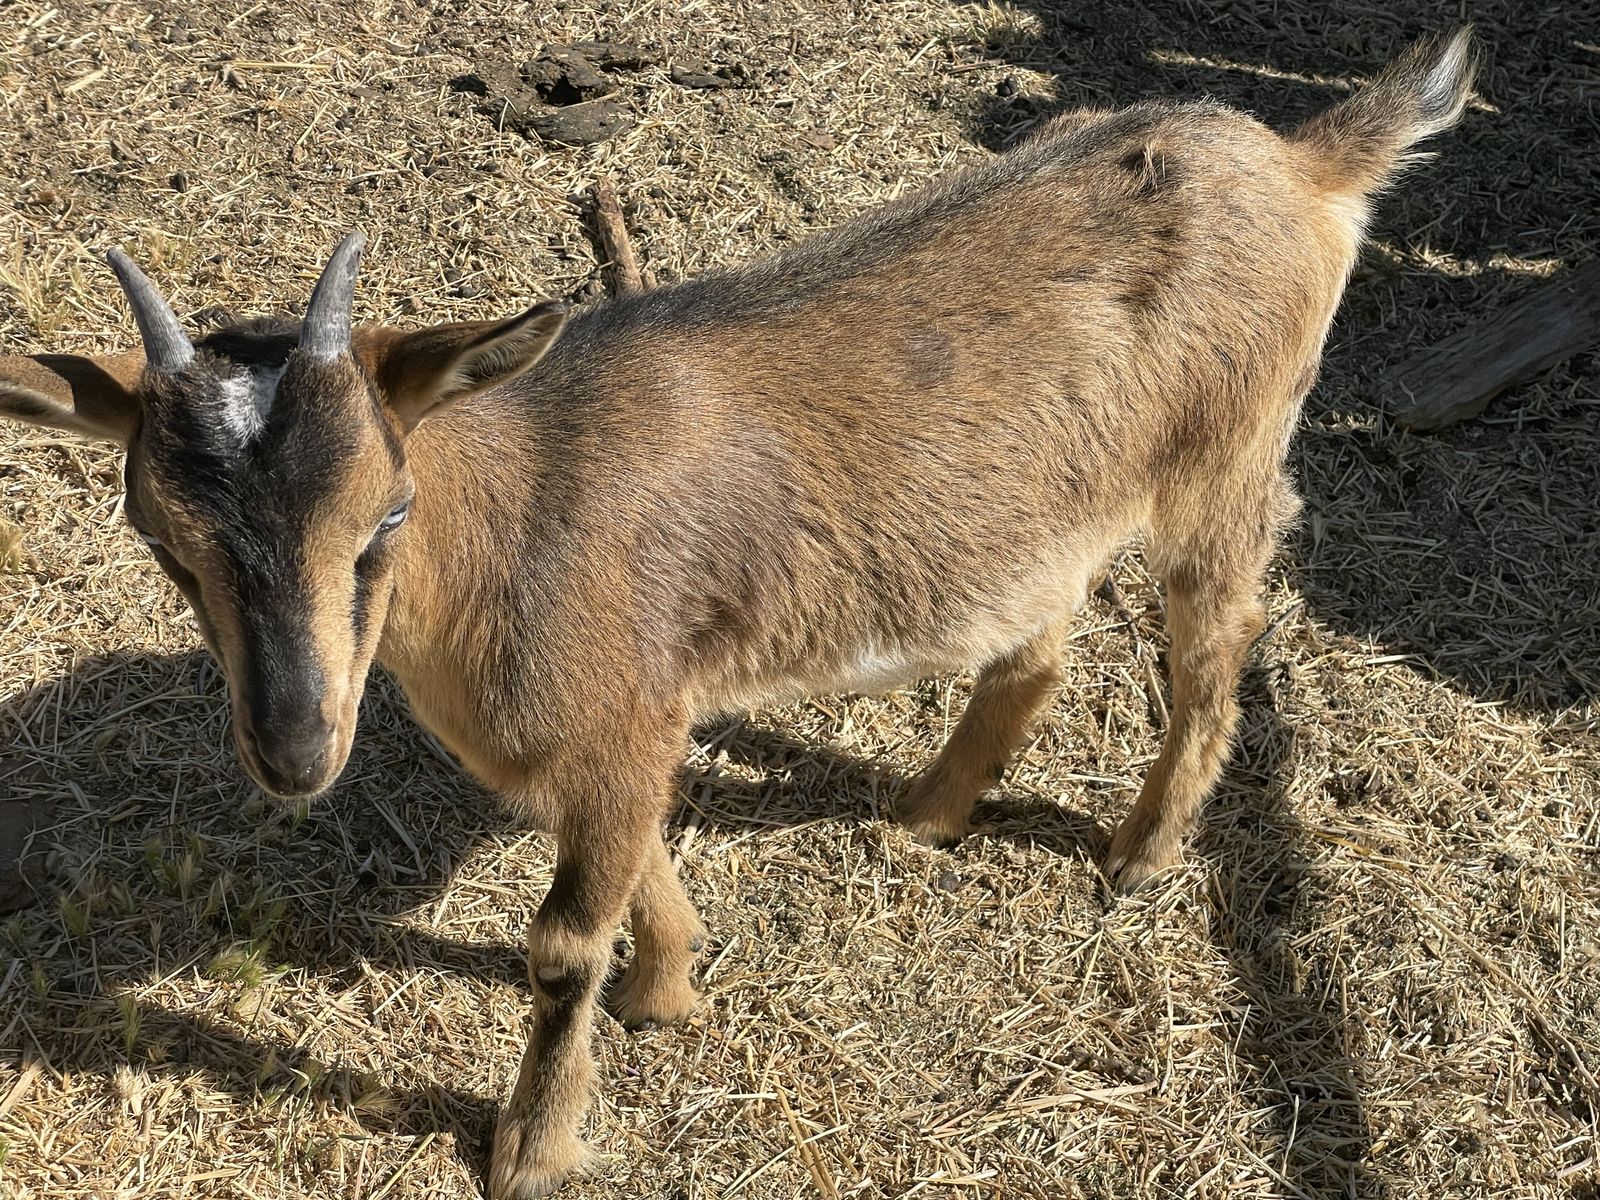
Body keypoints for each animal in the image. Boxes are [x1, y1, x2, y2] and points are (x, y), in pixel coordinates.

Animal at [0, 29, 1474, 1198]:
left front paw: (533, 1147)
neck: (520, 505)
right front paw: (671, 989)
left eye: (386, 518)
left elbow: (559, 945)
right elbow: (638, 855)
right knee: (1040, 634)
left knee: (1219, 638)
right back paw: (930, 811)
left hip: (1229, 452)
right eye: (162, 543)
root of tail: (1302, 163)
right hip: (1048, 506)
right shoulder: (623, 731)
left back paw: (1142, 851)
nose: (298, 750)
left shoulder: (617, 715)